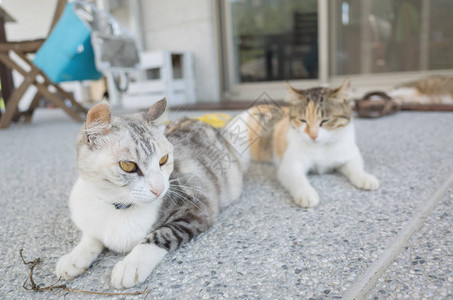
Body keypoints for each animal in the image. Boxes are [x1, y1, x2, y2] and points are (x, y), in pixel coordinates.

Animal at [57, 98, 247, 288]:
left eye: (163, 159)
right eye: (128, 165)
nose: (159, 189)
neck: (119, 208)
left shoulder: (198, 207)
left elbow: (162, 234)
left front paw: (131, 264)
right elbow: (91, 236)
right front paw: (74, 257)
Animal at [225, 79, 378, 209]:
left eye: (325, 121)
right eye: (303, 120)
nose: (313, 135)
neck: (321, 146)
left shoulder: (350, 153)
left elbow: (355, 167)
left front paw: (365, 178)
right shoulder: (289, 166)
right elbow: (298, 179)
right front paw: (306, 194)